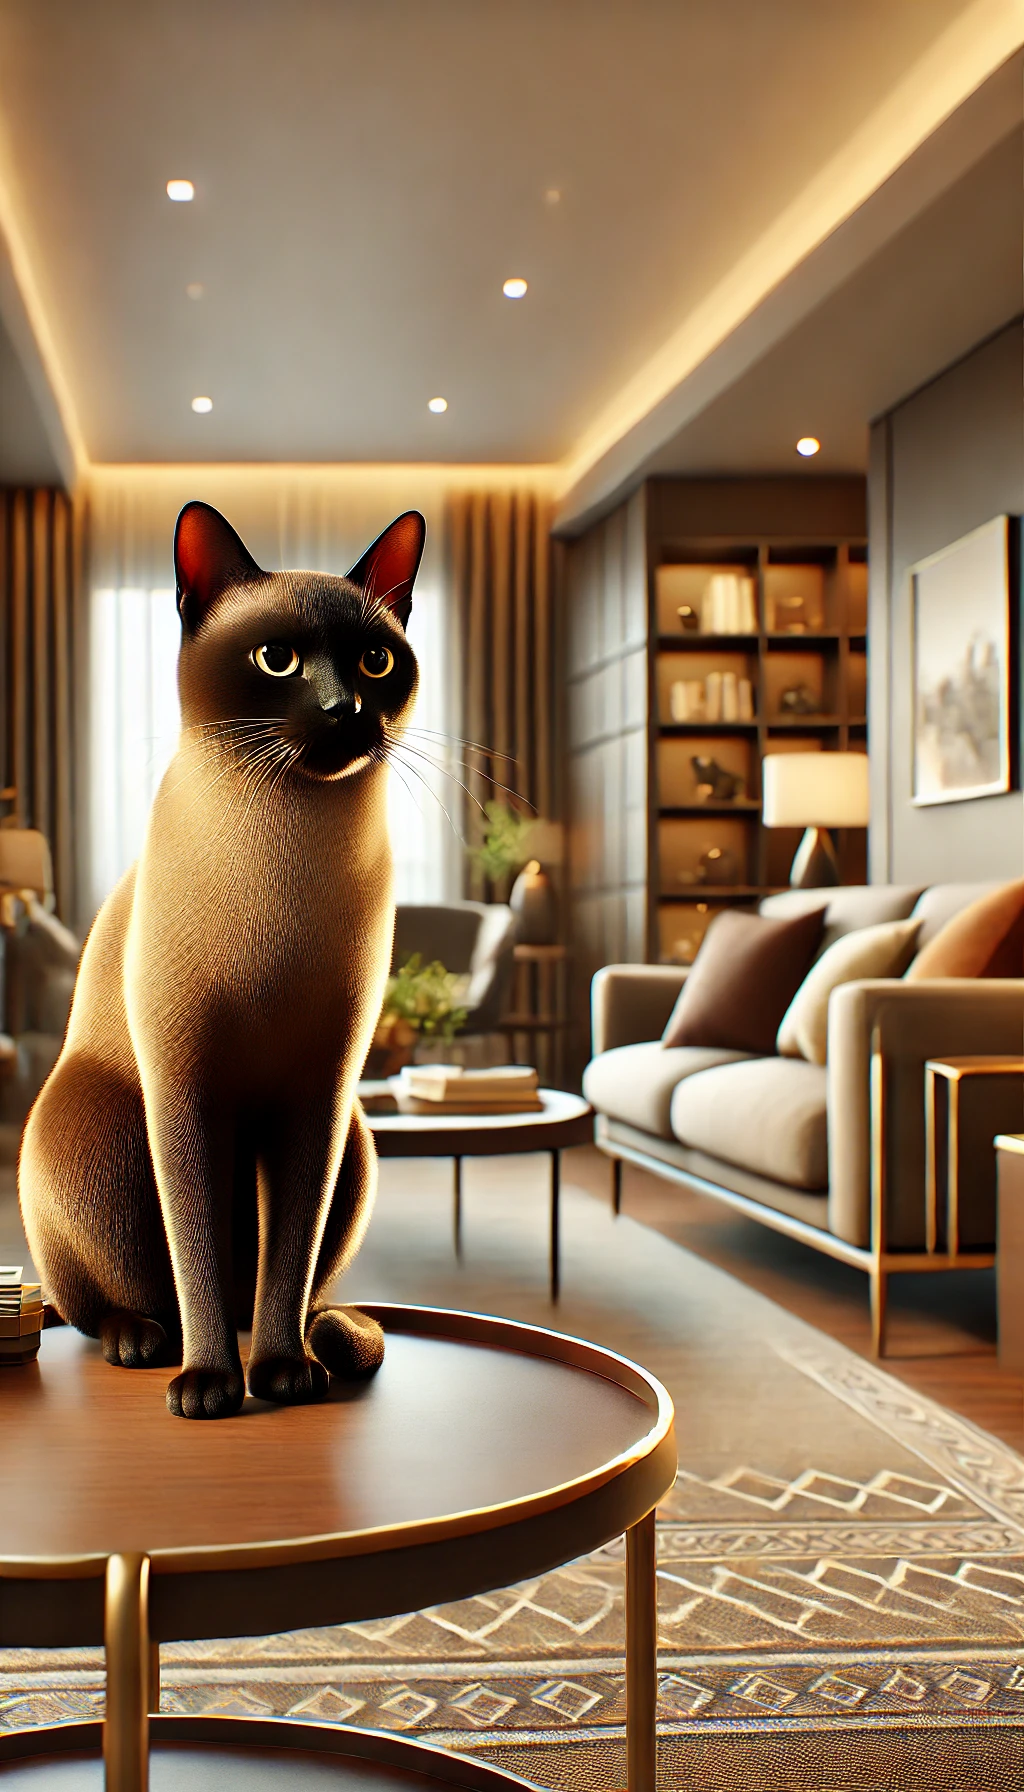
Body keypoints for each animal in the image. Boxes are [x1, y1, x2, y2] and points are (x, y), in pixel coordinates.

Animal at [19, 501, 425, 1412]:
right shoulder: (188, 1091)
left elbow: (289, 1252)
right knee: (117, 1298)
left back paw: (318, 1341)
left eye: (376, 660)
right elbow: (195, 1248)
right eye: (277, 660)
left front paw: (279, 1375)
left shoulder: (318, 1096)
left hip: (357, 1138)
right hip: (96, 1129)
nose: (345, 707)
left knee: (288, 1290)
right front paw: (209, 1387)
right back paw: (147, 1343)